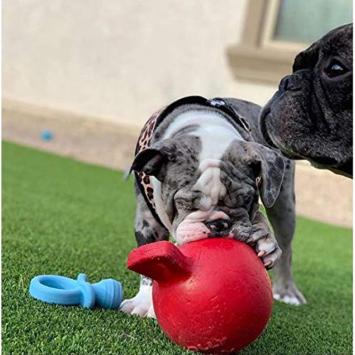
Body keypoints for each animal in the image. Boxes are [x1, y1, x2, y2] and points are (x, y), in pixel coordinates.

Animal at [121, 96, 304, 318]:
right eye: (183, 202)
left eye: (246, 199)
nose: (219, 224)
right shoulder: (148, 222)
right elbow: (149, 257)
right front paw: (143, 302)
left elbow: (260, 221)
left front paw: (264, 240)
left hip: (284, 203)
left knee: (286, 247)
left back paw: (287, 292)